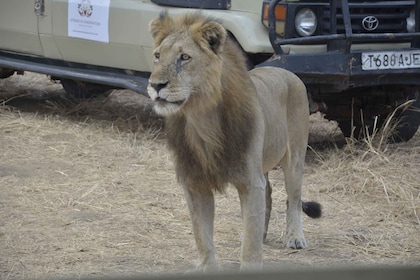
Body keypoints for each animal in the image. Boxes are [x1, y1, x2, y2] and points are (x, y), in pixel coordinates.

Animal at [148, 12, 322, 270]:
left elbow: (249, 248)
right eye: (157, 56)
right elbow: (203, 237)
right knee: (268, 194)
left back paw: (294, 237)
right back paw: (262, 233)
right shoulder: (195, 183)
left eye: (185, 57)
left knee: (294, 199)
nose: (155, 85)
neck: (201, 120)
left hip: (294, 159)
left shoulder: (250, 181)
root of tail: (290, 74)